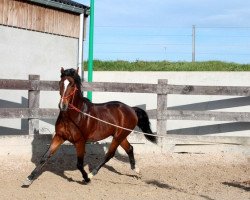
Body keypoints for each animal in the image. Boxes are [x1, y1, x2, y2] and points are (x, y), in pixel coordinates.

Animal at [23, 67, 156, 188]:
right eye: (60, 83)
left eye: (72, 85)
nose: (62, 105)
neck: (74, 116)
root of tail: (131, 109)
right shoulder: (59, 136)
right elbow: (44, 157)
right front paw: (28, 179)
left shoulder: (80, 141)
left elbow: (79, 164)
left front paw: (86, 178)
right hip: (120, 135)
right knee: (129, 149)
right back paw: (136, 170)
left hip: (119, 136)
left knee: (109, 155)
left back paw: (92, 174)